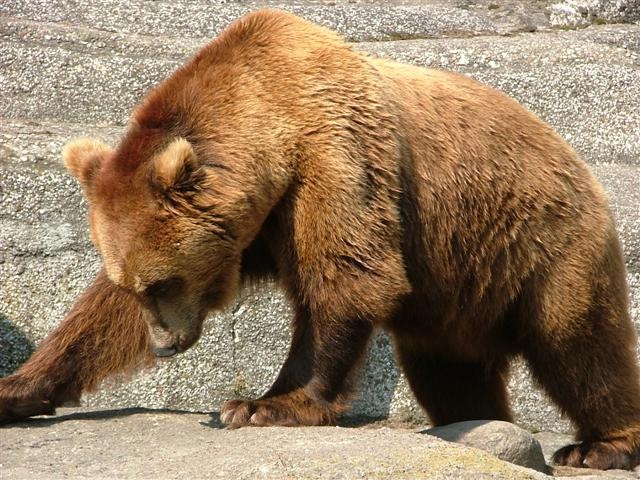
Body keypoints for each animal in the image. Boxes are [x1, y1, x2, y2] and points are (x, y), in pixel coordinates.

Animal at [1, 9, 640, 470]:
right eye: (135, 284)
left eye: (163, 281)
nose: (164, 346)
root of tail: (577, 162)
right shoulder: (257, 224)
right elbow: (97, 318)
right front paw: (19, 388)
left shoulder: (335, 161)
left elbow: (349, 274)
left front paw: (264, 404)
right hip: (456, 287)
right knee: (448, 369)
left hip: (543, 242)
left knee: (579, 343)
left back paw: (599, 444)